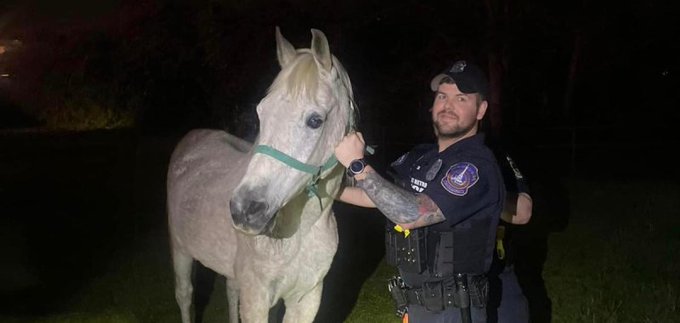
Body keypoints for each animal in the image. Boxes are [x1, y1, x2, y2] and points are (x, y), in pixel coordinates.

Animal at [167, 27, 356, 323]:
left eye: (315, 120)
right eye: (261, 112)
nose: (244, 210)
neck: (303, 230)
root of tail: (192, 138)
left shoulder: (306, 298)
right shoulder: (256, 297)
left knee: (230, 292)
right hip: (181, 251)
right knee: (185, 296)